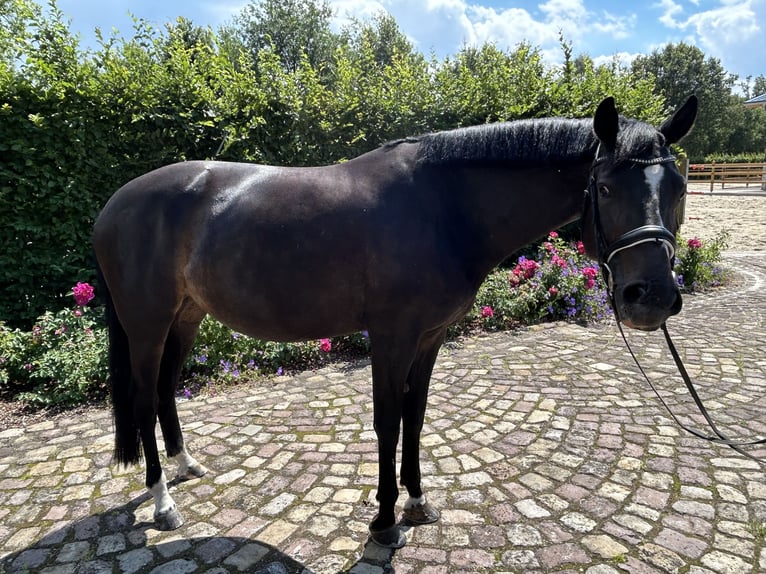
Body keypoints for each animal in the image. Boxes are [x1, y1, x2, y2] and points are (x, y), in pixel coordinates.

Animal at [93, 97, 700, 552]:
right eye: (605, 187)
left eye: (679, 188)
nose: (651, 298)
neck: (443, 207)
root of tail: (114, 204)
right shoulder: (391, 338)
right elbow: (388, 422)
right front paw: (384, 521)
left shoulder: (431, 337)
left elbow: (416, 415)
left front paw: (417, 500)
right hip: (147, 325)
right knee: (144, 398)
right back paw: (163, 503)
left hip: (187, 317)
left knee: (166, 390)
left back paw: (186, 466)